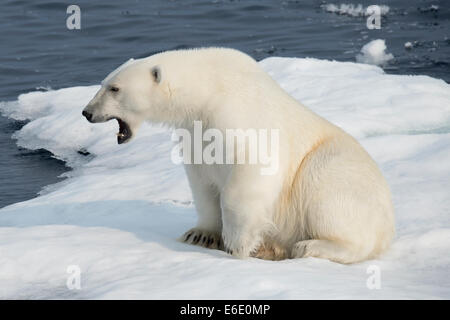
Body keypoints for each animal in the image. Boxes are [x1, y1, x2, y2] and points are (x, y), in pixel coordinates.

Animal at [83, 47, 394, 262]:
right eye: (103, 83)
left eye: (114, 88)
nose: (87, 112)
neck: (207, 90)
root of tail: (388, 228)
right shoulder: (195, 132)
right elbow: (202, 182)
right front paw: (200, 234)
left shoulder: (236, 115)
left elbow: (252, 171)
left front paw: (238, 244)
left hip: (334, 174)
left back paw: (309, 245)